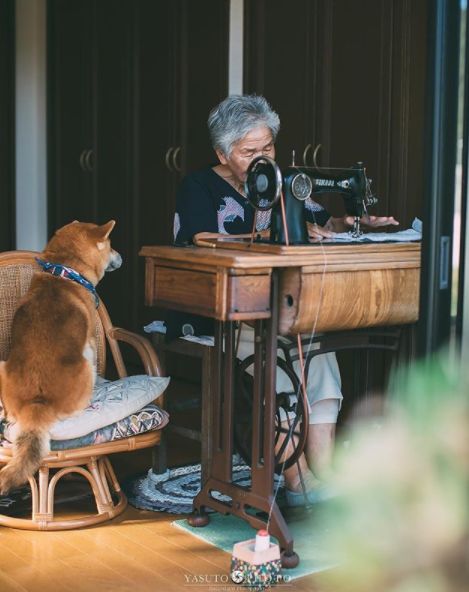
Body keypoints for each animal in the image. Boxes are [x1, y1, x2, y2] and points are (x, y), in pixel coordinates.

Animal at [0, 220, 121, 492]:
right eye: (110, 245)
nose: (121, 256)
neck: (63, 271)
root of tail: (37, 403)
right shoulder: (90, 343)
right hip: (86, 367)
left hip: (2, 367)